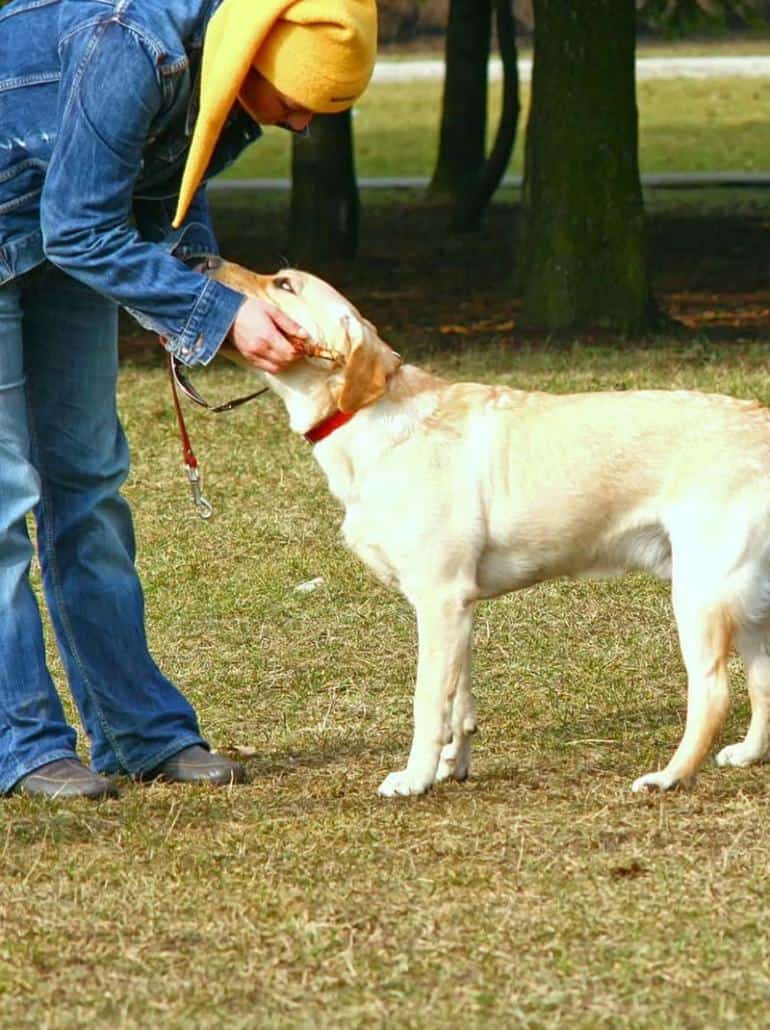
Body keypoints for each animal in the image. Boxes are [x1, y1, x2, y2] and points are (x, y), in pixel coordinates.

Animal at [213, 257, 770, 795]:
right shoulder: (460, 605)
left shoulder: (439, 598)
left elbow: (427, 703)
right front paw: (450, 767)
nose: (202, 260)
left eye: (284, 284)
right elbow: (459, 703)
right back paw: (746, 754)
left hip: (700, 591)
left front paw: (414, 779)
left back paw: (670, 776)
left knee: (714, 694)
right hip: (745, 602)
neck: (366, 416)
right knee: (762, 680)